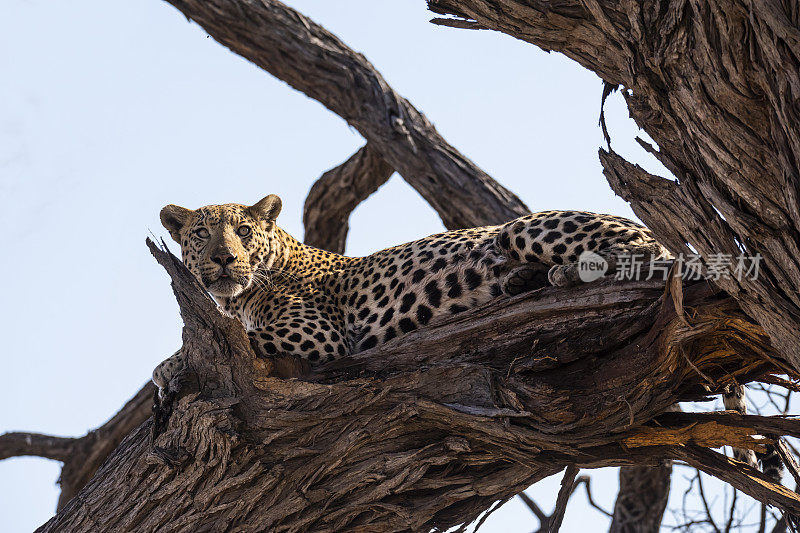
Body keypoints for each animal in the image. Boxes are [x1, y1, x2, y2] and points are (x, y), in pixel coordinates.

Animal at [152, 191, 668, 390]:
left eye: (243, 231)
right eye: (203, 234)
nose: (224, 258)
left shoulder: (317, 334)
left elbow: (244, 338)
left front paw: (168, 367)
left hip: (521, 229)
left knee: (648, 254)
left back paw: (564, 274)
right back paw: (525, 279)